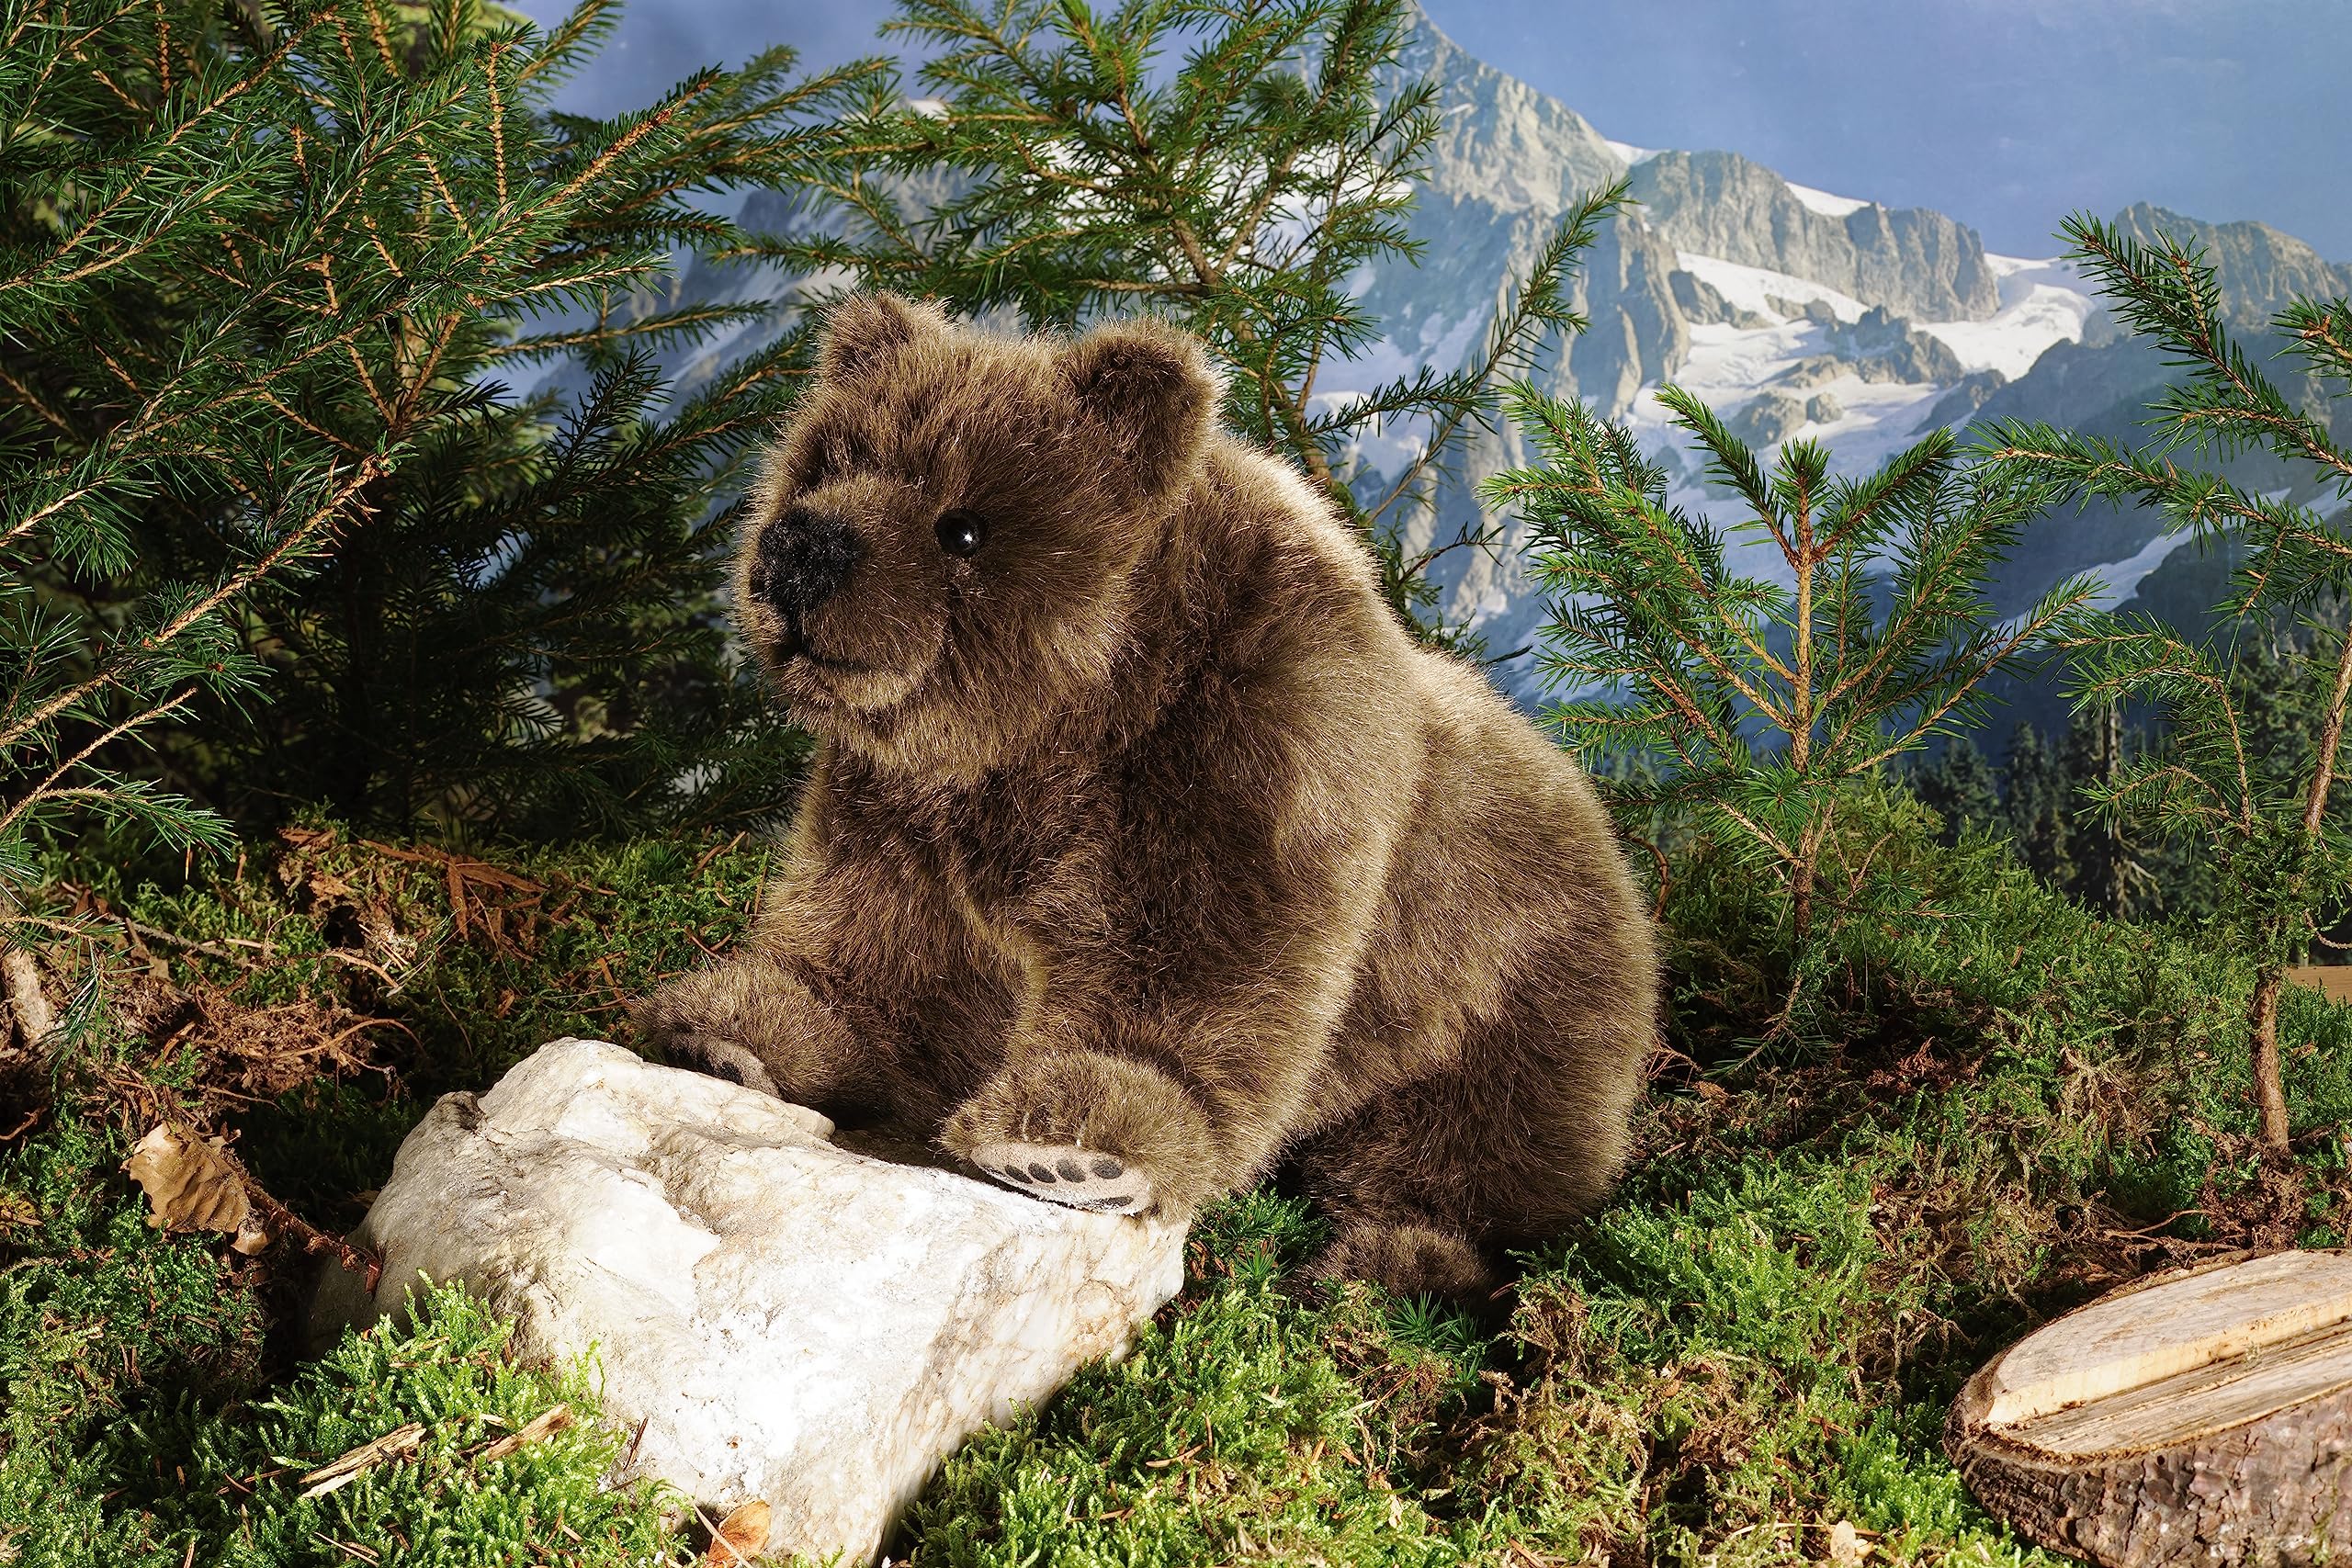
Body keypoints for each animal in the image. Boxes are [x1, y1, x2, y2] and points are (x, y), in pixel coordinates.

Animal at [633, 292, 1660, 1296]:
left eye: (961, 524)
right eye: (822, 466)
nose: (803, 548)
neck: (1058, 723)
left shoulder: (1246, 758)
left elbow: (1195, 965)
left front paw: (1070, 1144)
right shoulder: (904, 807)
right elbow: (874, 943)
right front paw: (736, 1033)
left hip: (1508, 979)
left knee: (1475, 1142)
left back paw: (1392, 1257)